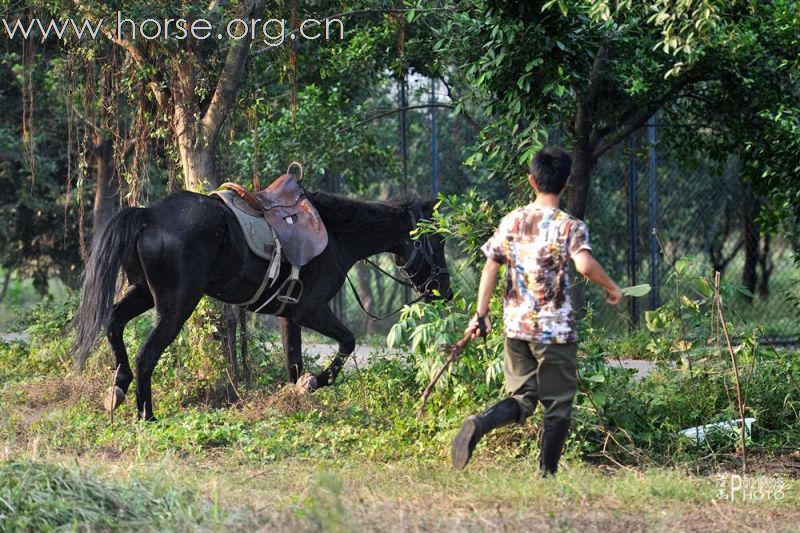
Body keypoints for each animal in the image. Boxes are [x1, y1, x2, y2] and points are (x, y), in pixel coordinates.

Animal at [73, 188, 450, 420]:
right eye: (436, 241)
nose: (444, 291)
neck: (336, 236)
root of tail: (148, 215)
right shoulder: (311, 310)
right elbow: (347, 342)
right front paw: (314, 383)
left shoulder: (289, 316)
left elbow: (294, 361)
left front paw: (296, 397)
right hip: (176, 304)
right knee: (146, 354)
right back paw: (146, 415)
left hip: (143, 293)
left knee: (114, 324)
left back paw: (118, 389)